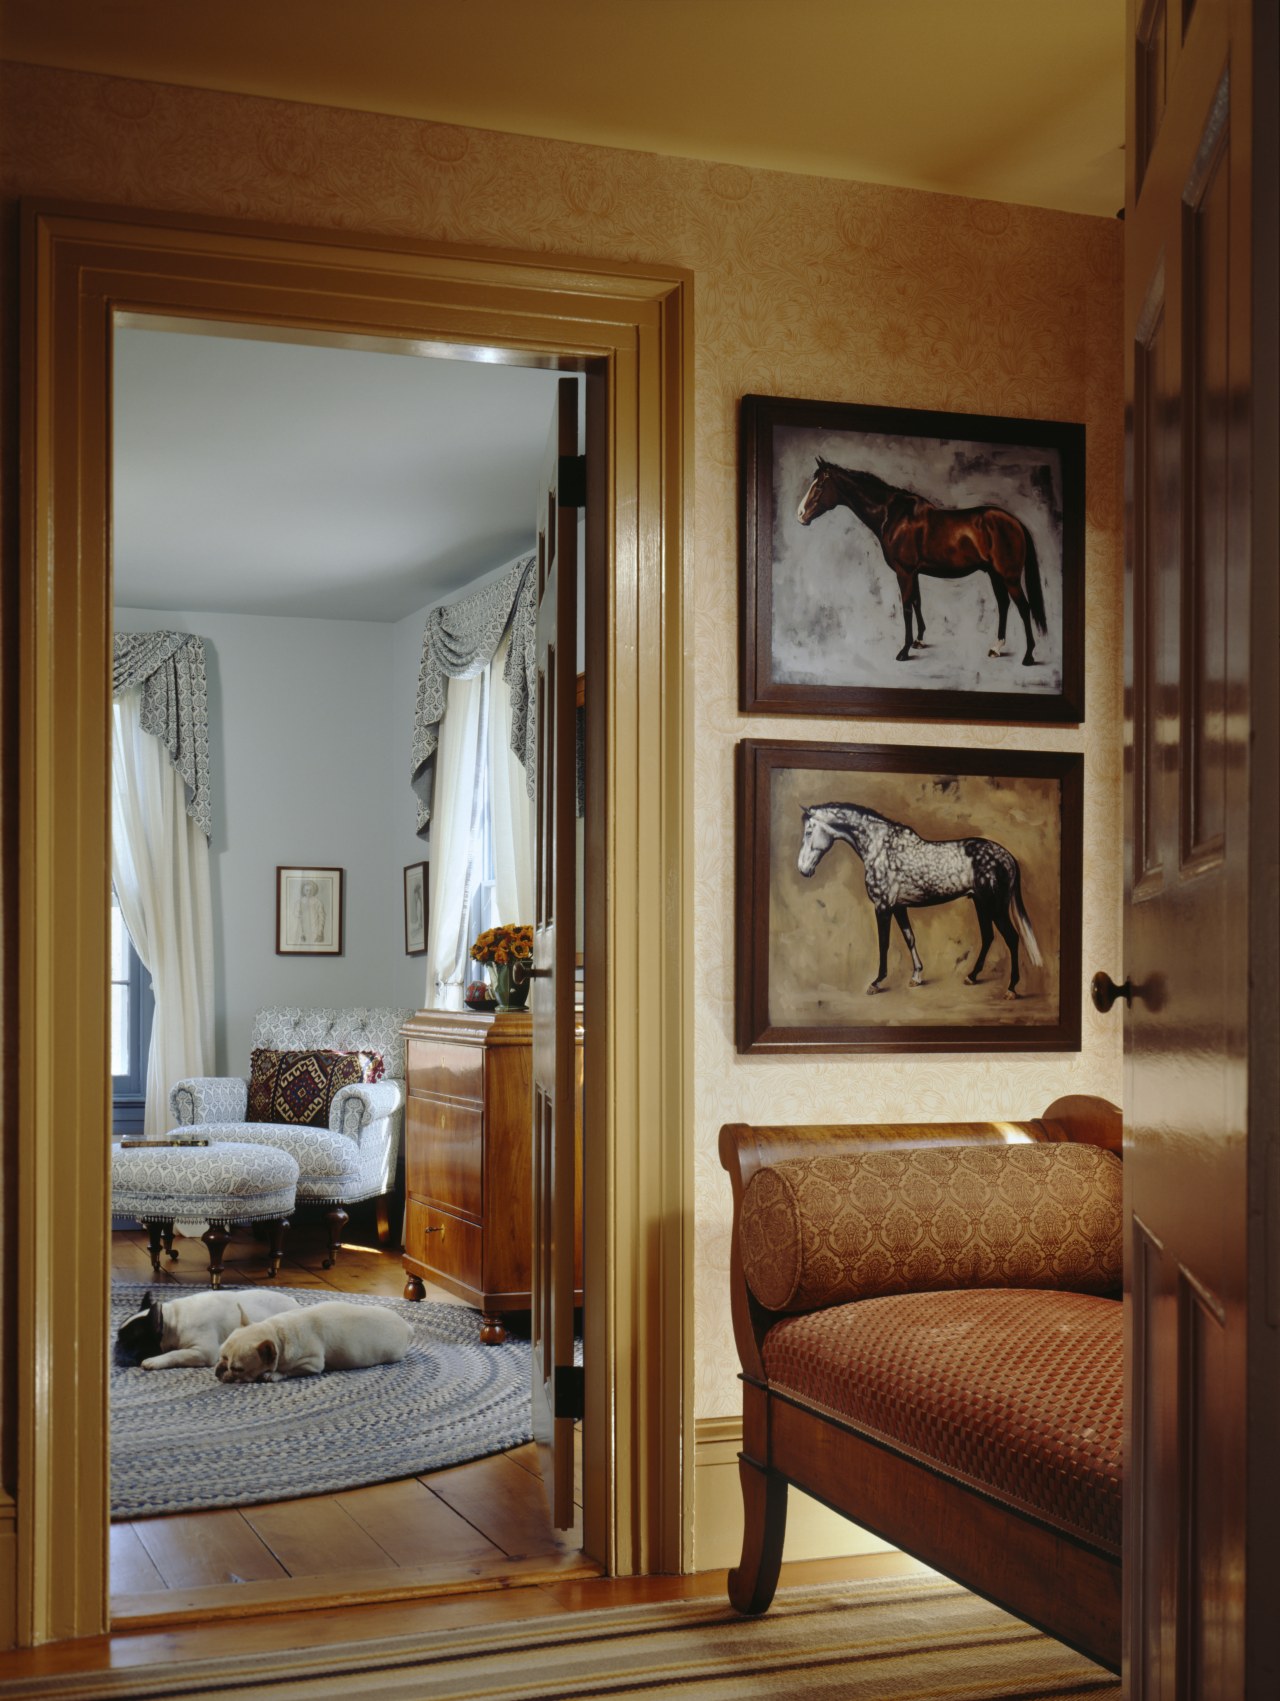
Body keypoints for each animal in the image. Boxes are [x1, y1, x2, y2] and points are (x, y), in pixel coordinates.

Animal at [114, 1285, 299, 1367]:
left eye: (129, 1342)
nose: (116, 1345)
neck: (172, 1320)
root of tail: (296, 1302)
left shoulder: (203, 1351)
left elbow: (177, 1354)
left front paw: (154, 1361)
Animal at [212, 1299, 406, 1381]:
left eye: (237, 1369)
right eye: (221, 1356)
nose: (219, 1370)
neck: (276, 1334)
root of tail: (408, 1328)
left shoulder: (311, 1364)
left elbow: (288, 1371)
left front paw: (273, 1374)